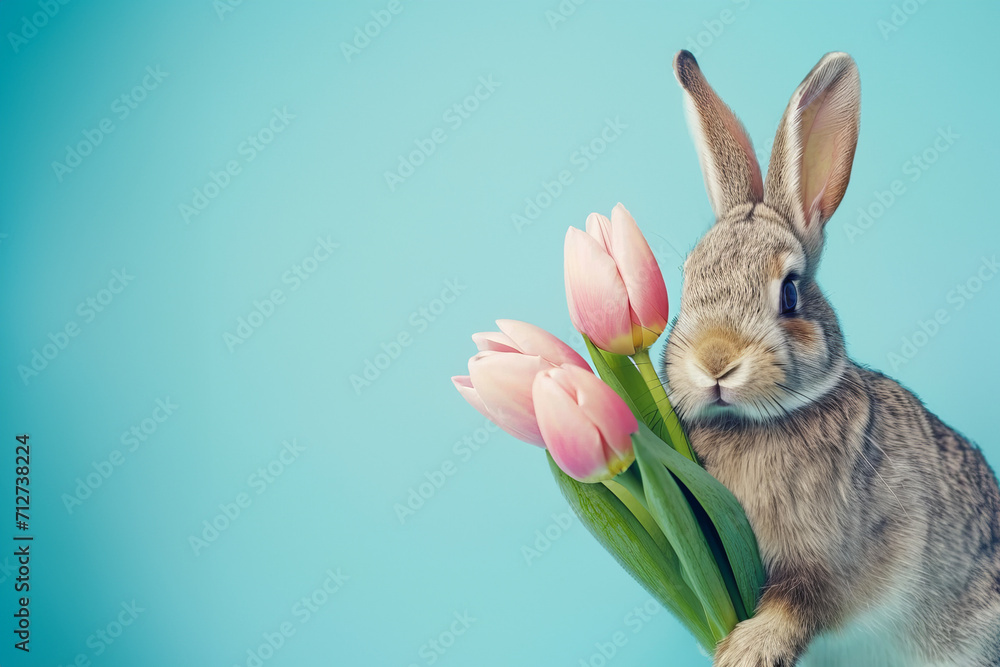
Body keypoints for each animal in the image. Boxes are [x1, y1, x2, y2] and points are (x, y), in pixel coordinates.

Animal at [660, 49, 1000, 667]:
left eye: (790, 293)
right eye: (687, 283)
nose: (715, 361)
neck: (758, 424)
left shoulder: (837, 560)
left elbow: (803, 602)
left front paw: (747, 649)